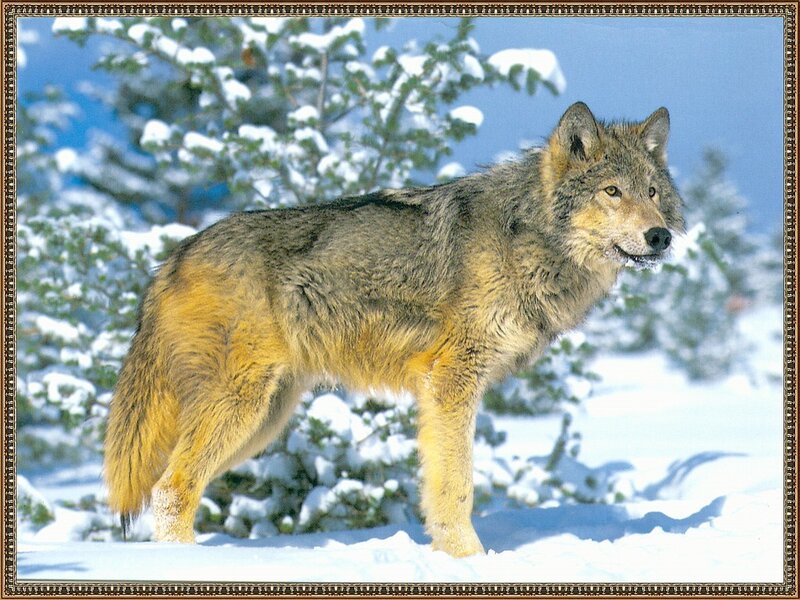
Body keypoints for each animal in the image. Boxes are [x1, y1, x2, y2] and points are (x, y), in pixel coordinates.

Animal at [104, 102, 684, 557]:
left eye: (653, 192)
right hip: (242, 406)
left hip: (265, 420)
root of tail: (172, 257)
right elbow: (456, 485)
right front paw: (468, 560)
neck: (526, 238)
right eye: (612, 191)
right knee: (172, 490)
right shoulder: (451, 380)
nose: (660, 237)